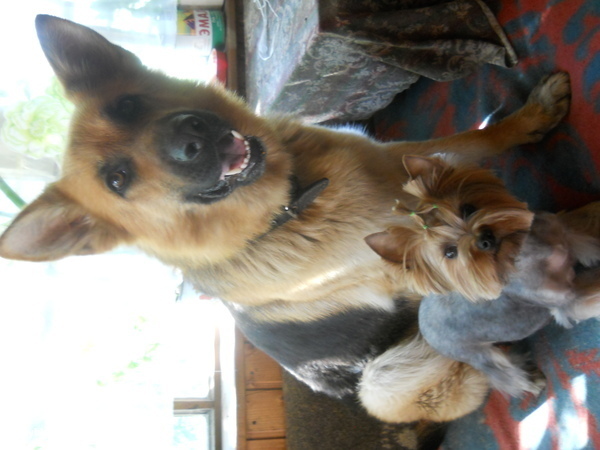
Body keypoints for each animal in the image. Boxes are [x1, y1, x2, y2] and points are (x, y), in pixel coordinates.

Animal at [0, 15, 572, 425]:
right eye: (117, 179)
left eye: (128, 105)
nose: (190, 141)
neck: (291, 204)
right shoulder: (411, 258)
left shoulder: (396, 159)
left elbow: (472, 141)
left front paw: (531, 118)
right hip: (380, 381)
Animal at [366, 157, 600, 397]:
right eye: (450, 252)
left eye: (468, 209)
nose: (485, 239)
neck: (524, 249)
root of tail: (421, 325)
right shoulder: (565, 302)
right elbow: (587, 300)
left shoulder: (566, 236)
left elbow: (584, 245)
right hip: (473, 353)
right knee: (501, 372)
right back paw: (531, 382)